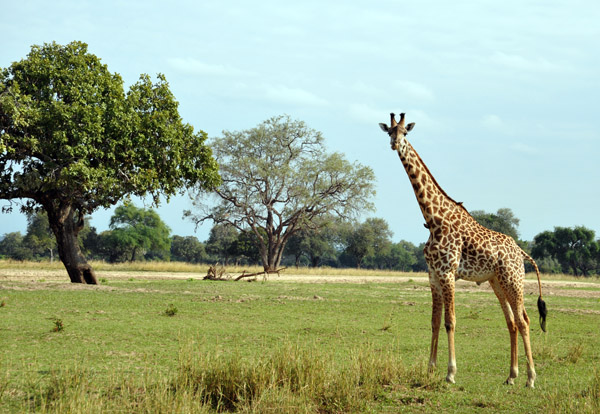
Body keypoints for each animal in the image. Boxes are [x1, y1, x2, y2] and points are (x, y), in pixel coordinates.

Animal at [380, 112, 548, 388]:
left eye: (405, 132)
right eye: (389, 132)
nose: (395, 144)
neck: (433, 218)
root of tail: (521, 252)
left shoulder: (448, 273)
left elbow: (450, 321)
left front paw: (450, 373)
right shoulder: (433, 275)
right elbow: (435, 321)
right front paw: (430, 369)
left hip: (514, 280)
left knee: (524, 321)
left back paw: (531, 378)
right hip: (497, 281)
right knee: (512, 321)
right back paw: (511, 376)